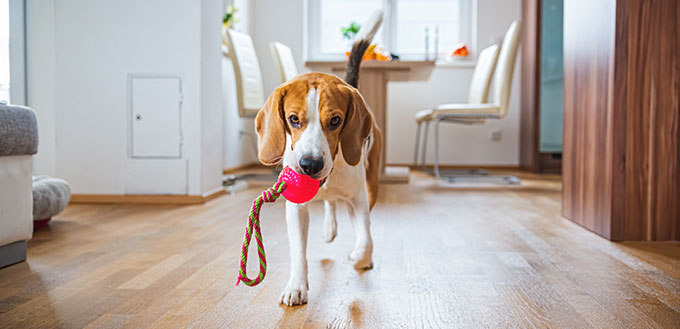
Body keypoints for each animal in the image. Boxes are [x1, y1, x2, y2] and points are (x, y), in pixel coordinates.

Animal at [255, 32, 382, 304]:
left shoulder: (358, 199)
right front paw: (296, 286)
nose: (310, 164)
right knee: (329, 202)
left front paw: (359, 257)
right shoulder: (295, 208)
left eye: (335, 121)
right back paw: (329, 228)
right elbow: (298, 252)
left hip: (372, 184)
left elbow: (366, 238)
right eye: (293, 119)